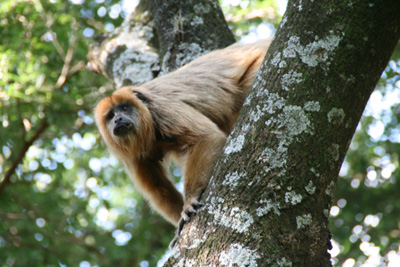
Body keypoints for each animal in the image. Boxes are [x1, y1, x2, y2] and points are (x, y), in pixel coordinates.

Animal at [94, 39, 272, 243]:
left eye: (124, 108)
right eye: (111, 115)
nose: (118, 120)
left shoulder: (163, 109)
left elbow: (206, 136)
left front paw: (189, 202)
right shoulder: (130, 156)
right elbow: (157, 187)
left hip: (259, 65)